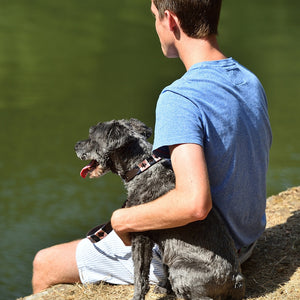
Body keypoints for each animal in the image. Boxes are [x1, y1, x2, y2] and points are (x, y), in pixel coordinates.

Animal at [74, 118, 245, 298]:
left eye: (92, 136)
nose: (76, 145)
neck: (141, 168)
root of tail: (236, 280)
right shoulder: (164, 244)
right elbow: (163, 264)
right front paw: (164, 287)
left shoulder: (140, 236)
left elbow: (140, 275)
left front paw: (138, 296)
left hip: (181, 270)